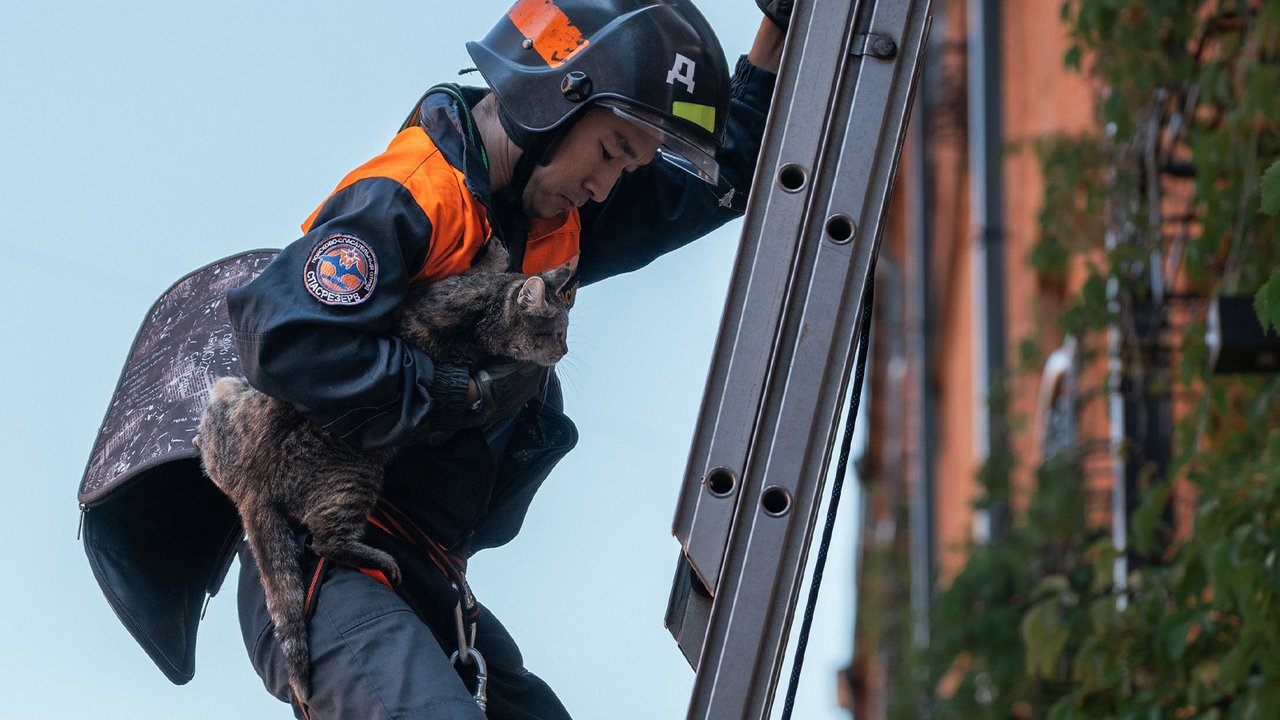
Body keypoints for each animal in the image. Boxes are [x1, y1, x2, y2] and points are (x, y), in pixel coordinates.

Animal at [195, 239, 570, 702]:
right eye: (556, 334)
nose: (564, 351)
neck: (485, 318)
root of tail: (250, 484)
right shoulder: (443, 296)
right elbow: (485, 272)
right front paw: (496, 256)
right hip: (356, 477)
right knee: (326, 541)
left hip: (228, 393)